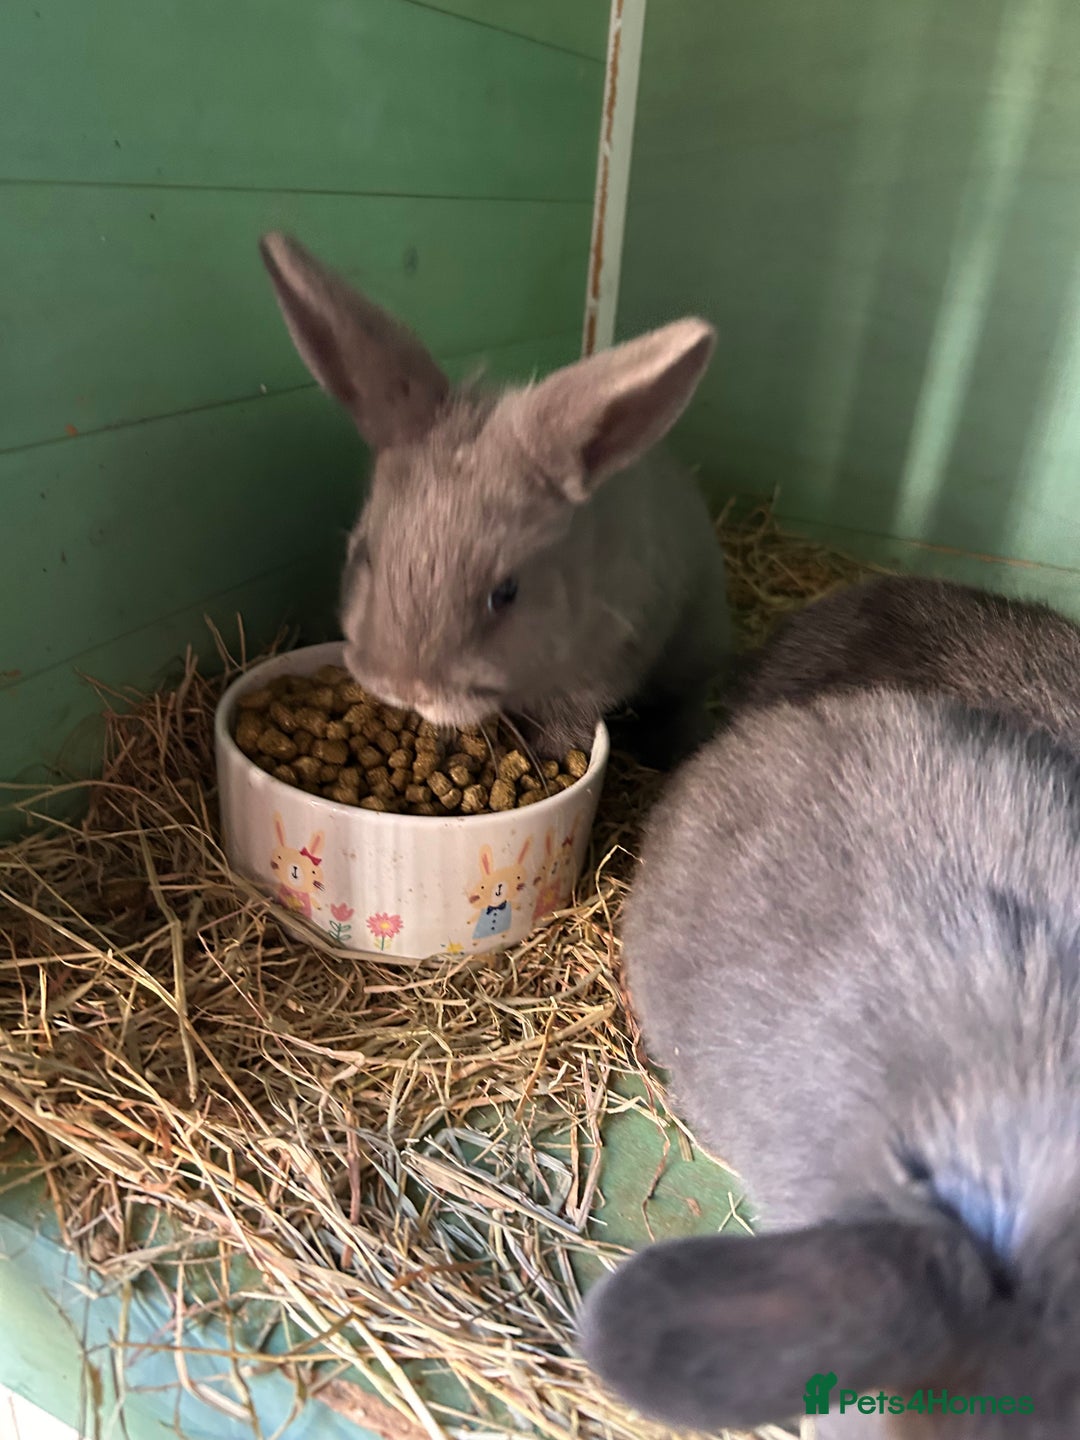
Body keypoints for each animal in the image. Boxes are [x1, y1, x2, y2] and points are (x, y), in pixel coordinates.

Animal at [258, 232, 732, 768]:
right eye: (365, 555)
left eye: (506, 593)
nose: (407, 688)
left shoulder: (607, 661)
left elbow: (570, 717)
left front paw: (541, 753)